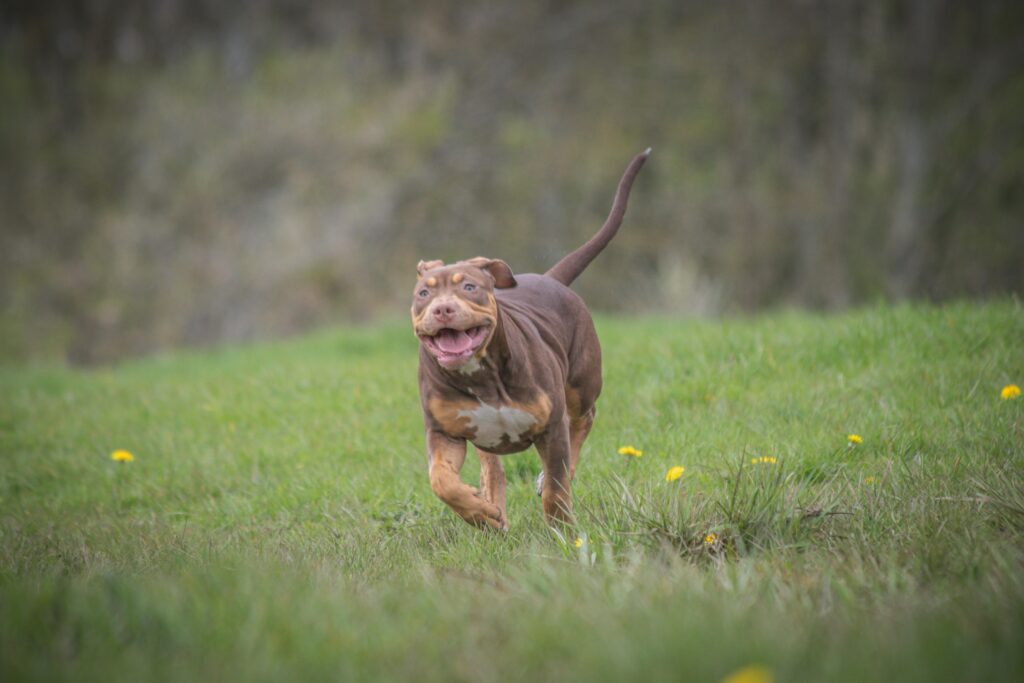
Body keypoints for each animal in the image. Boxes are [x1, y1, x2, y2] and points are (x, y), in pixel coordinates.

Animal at [407, 149, 647, 532]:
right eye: (423, 293)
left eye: (469, 286)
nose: (443, 309)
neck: (481, 374)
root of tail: (552, 279)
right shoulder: (444, 431)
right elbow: (441, 481)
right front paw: (480, 513)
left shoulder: (550, 427)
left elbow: (556, 486)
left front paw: (562, 531)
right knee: (492, 467)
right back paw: (493, 508)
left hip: (582, 384)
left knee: (583, 422)